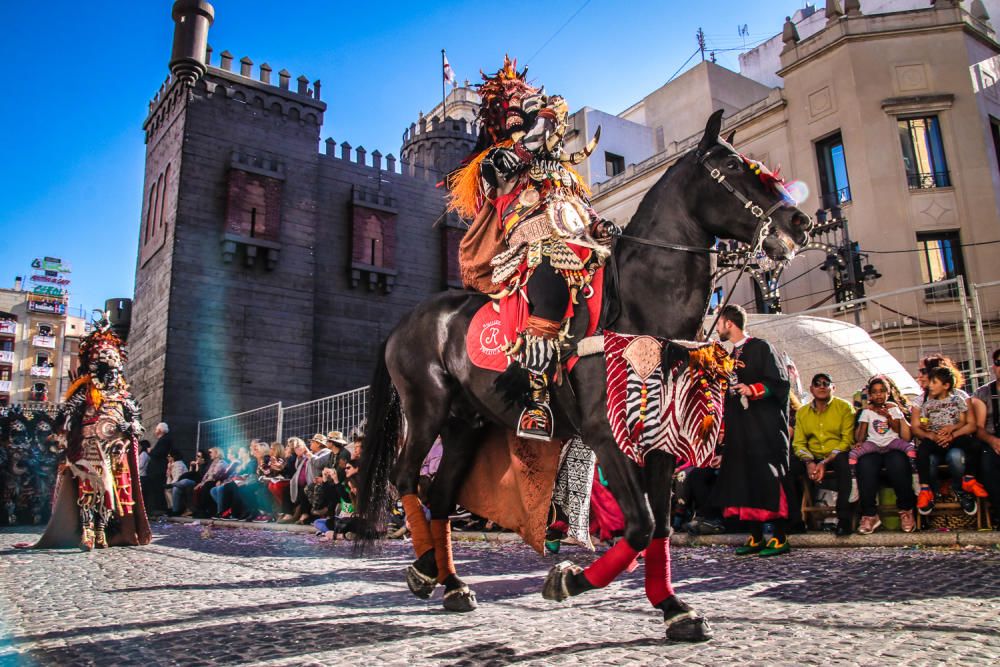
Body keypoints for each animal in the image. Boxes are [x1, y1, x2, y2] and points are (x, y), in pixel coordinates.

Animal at [360, 111, 812, 640]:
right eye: (733, 166)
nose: (799, 222)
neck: (638, 306)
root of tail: (403, 323)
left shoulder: (660, 441)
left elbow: (658, 526)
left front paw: (674, 607)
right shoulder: (605, 434)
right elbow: (639, 524)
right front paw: (569, 580)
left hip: (464, 425)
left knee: (442, 492)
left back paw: (448, 581)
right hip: (426, 408)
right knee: (407, 477)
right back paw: (425, 569)